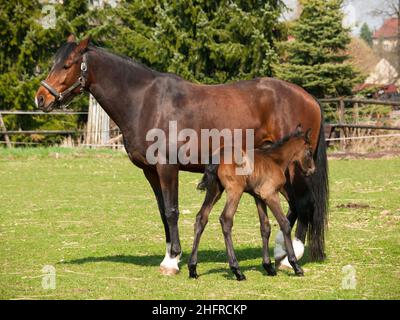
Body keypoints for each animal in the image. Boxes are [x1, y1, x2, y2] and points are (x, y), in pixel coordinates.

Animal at [188, 126, 316, 282]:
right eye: (309, 151)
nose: (312, 169)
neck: (275, 160)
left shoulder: (259, 198)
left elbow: (265, 227)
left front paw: (268, 267)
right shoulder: (271, 195)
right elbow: (284, 223)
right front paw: (296, 266)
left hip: (214, 191)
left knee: (201, 218)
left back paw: (193, 268)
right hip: (235, 191)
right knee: (226, 219)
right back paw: (237, 270)